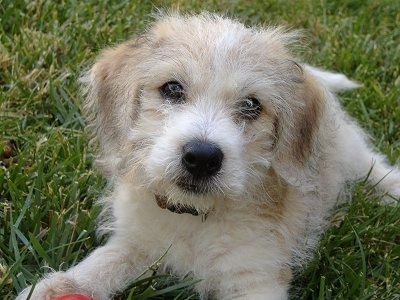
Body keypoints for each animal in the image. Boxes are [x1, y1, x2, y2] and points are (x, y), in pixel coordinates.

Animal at [18, 12, 400, 300]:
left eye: (251, 105)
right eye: (172, 89)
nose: (201, 157)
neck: (197, 217)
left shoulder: (255, 277)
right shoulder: (137, 242)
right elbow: (103, 262)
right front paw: (53, 287)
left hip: (350, 151)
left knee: (372, 165)